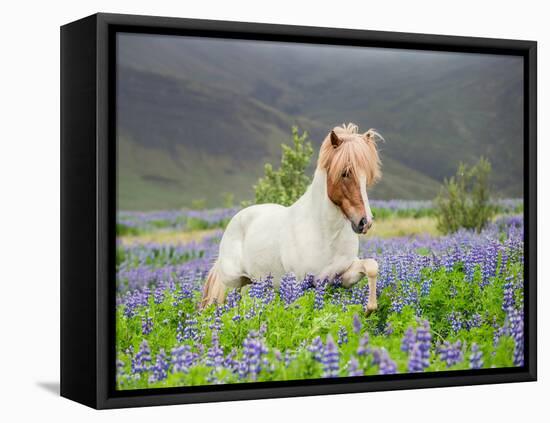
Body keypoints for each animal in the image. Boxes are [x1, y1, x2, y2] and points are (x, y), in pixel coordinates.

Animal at [202, 122, 384, 314]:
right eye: (345, 173)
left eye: (367, 176)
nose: (365, 222)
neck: (326, 234)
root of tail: (236, 219)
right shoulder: (299, 283)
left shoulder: (343, 276)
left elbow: (372, 266)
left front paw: (369, 308)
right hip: (233, 280)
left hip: (259, 282)